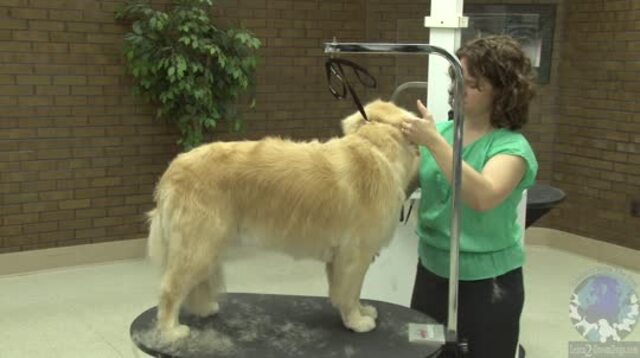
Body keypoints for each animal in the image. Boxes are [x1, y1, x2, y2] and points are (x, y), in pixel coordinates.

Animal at [148, 99, 422, 340]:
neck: (376, 148)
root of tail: (172, 170)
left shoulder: (341, 258)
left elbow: (345, 292)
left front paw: (362, 310)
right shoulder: (355, 255)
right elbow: (350, 292)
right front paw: (356, 321)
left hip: (207, 245)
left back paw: (204, 309)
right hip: (198, 246)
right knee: (170, 289)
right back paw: (171, 331)